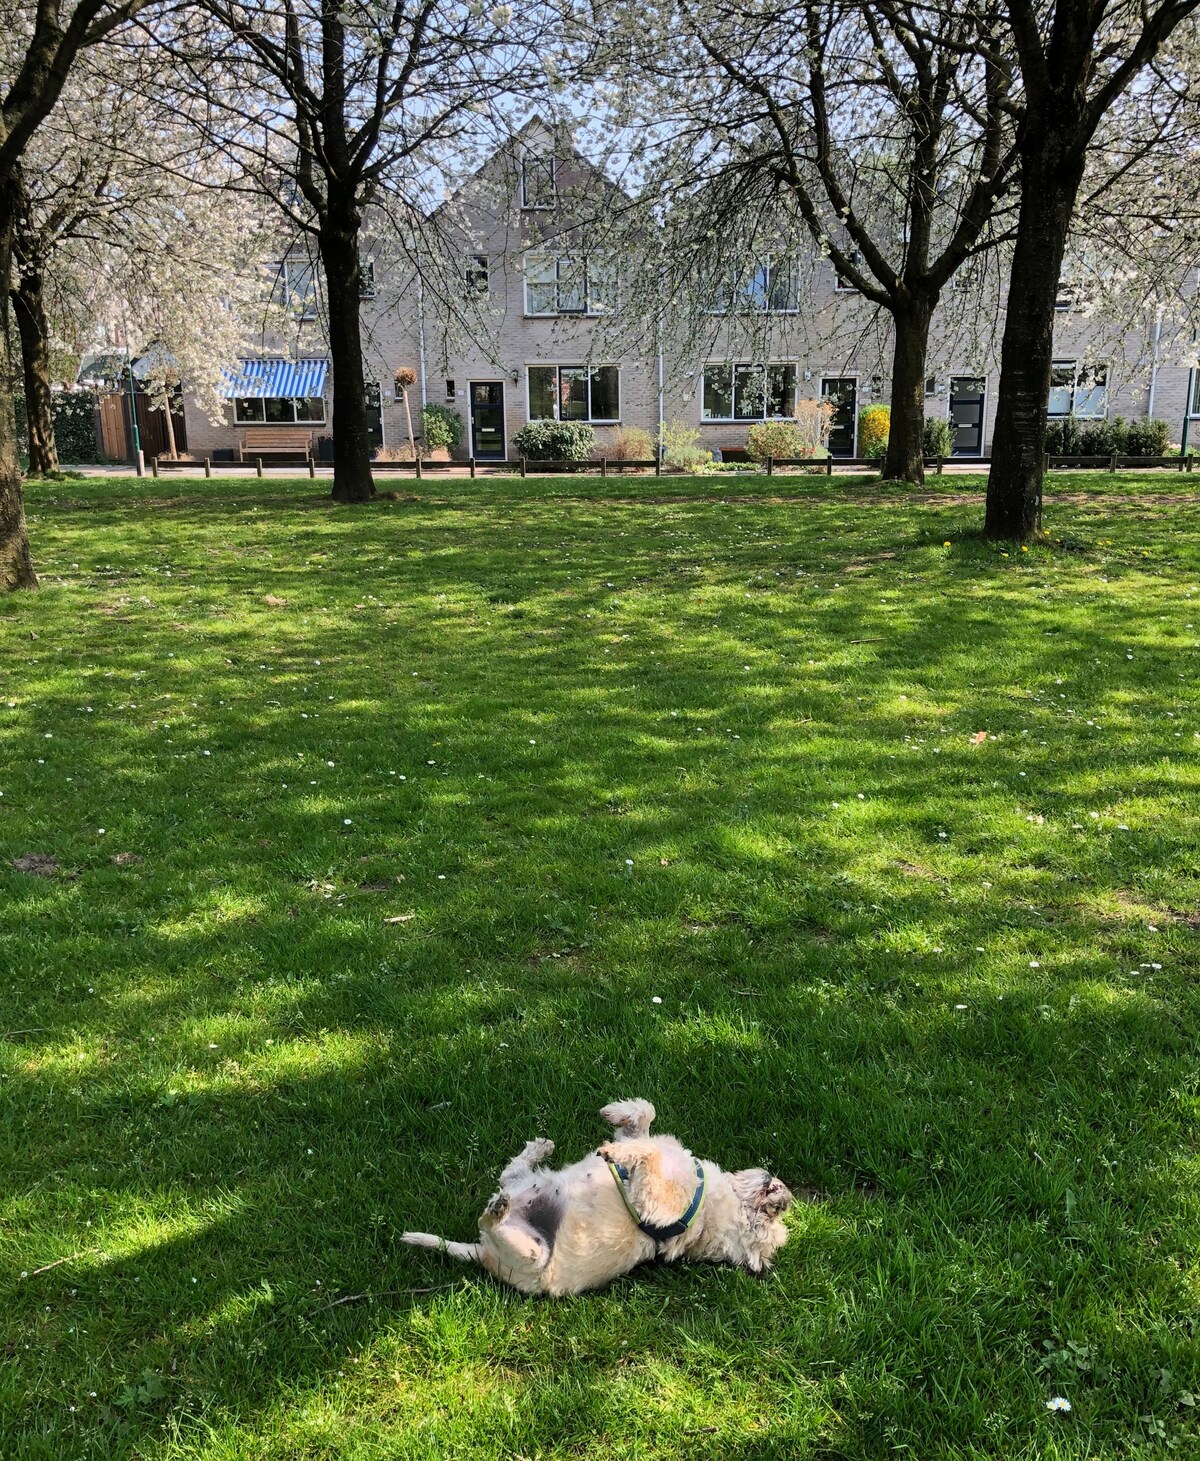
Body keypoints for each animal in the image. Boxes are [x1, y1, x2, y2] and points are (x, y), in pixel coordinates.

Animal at [403, 1098, 795, 1297]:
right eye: (775, 1216)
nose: (785, 1197)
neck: (712, 1204)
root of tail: (482, 1253)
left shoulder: (658, 1202)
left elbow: (645, 1158)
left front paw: (615, 1154)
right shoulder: (644, 1138)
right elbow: (645, 1116)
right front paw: (615, 1113)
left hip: (532, 1255)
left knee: (491, 1217)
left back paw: (497, 1210)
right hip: (528, 1185)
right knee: (508, 1175)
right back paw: (538, 1149)